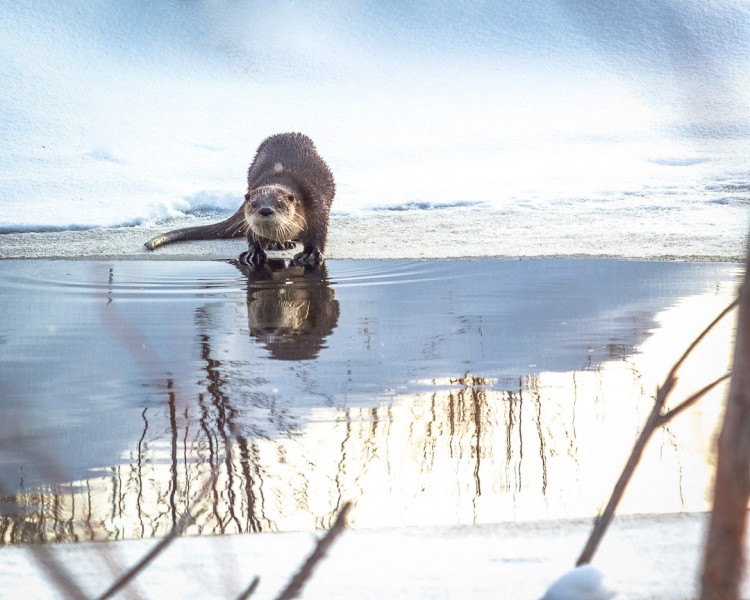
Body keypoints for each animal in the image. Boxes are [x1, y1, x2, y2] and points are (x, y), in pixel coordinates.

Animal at [143, 135, 334, 268]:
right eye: (254, 204)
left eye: (280, 204)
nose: (265, 210)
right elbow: (253, 236)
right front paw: (253, 253)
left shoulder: (315, 203)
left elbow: (318, 231)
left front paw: (310, 254)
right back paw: (280, 243)